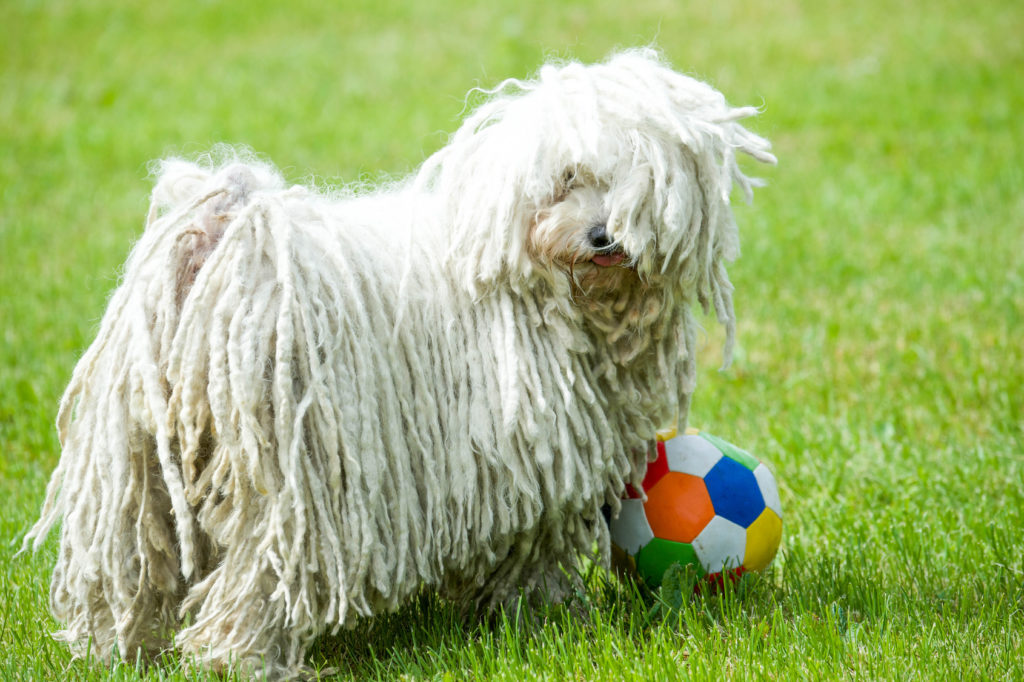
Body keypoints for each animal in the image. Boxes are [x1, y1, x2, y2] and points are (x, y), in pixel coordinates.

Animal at [24, 49, 770, 675]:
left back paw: (115, 647)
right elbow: (527, 550)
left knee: (130, 562)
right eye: (566, 181)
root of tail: (223, 247)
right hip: (293, 484)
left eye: (633, 186)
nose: (602, 237)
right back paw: (247, 658)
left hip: (135, 465)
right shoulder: (523, 458)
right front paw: (542, 617)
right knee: (260, 577)